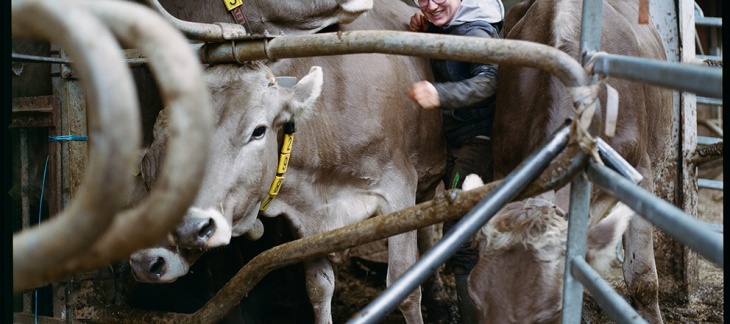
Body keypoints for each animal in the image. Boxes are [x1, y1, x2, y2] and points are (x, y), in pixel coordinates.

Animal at [129, 0, 444, 322]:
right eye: (146, 168)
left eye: (258, 131)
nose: (147, 262)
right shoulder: (306, 221)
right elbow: (319, 288)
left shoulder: (398, 185)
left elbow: (404, 285)